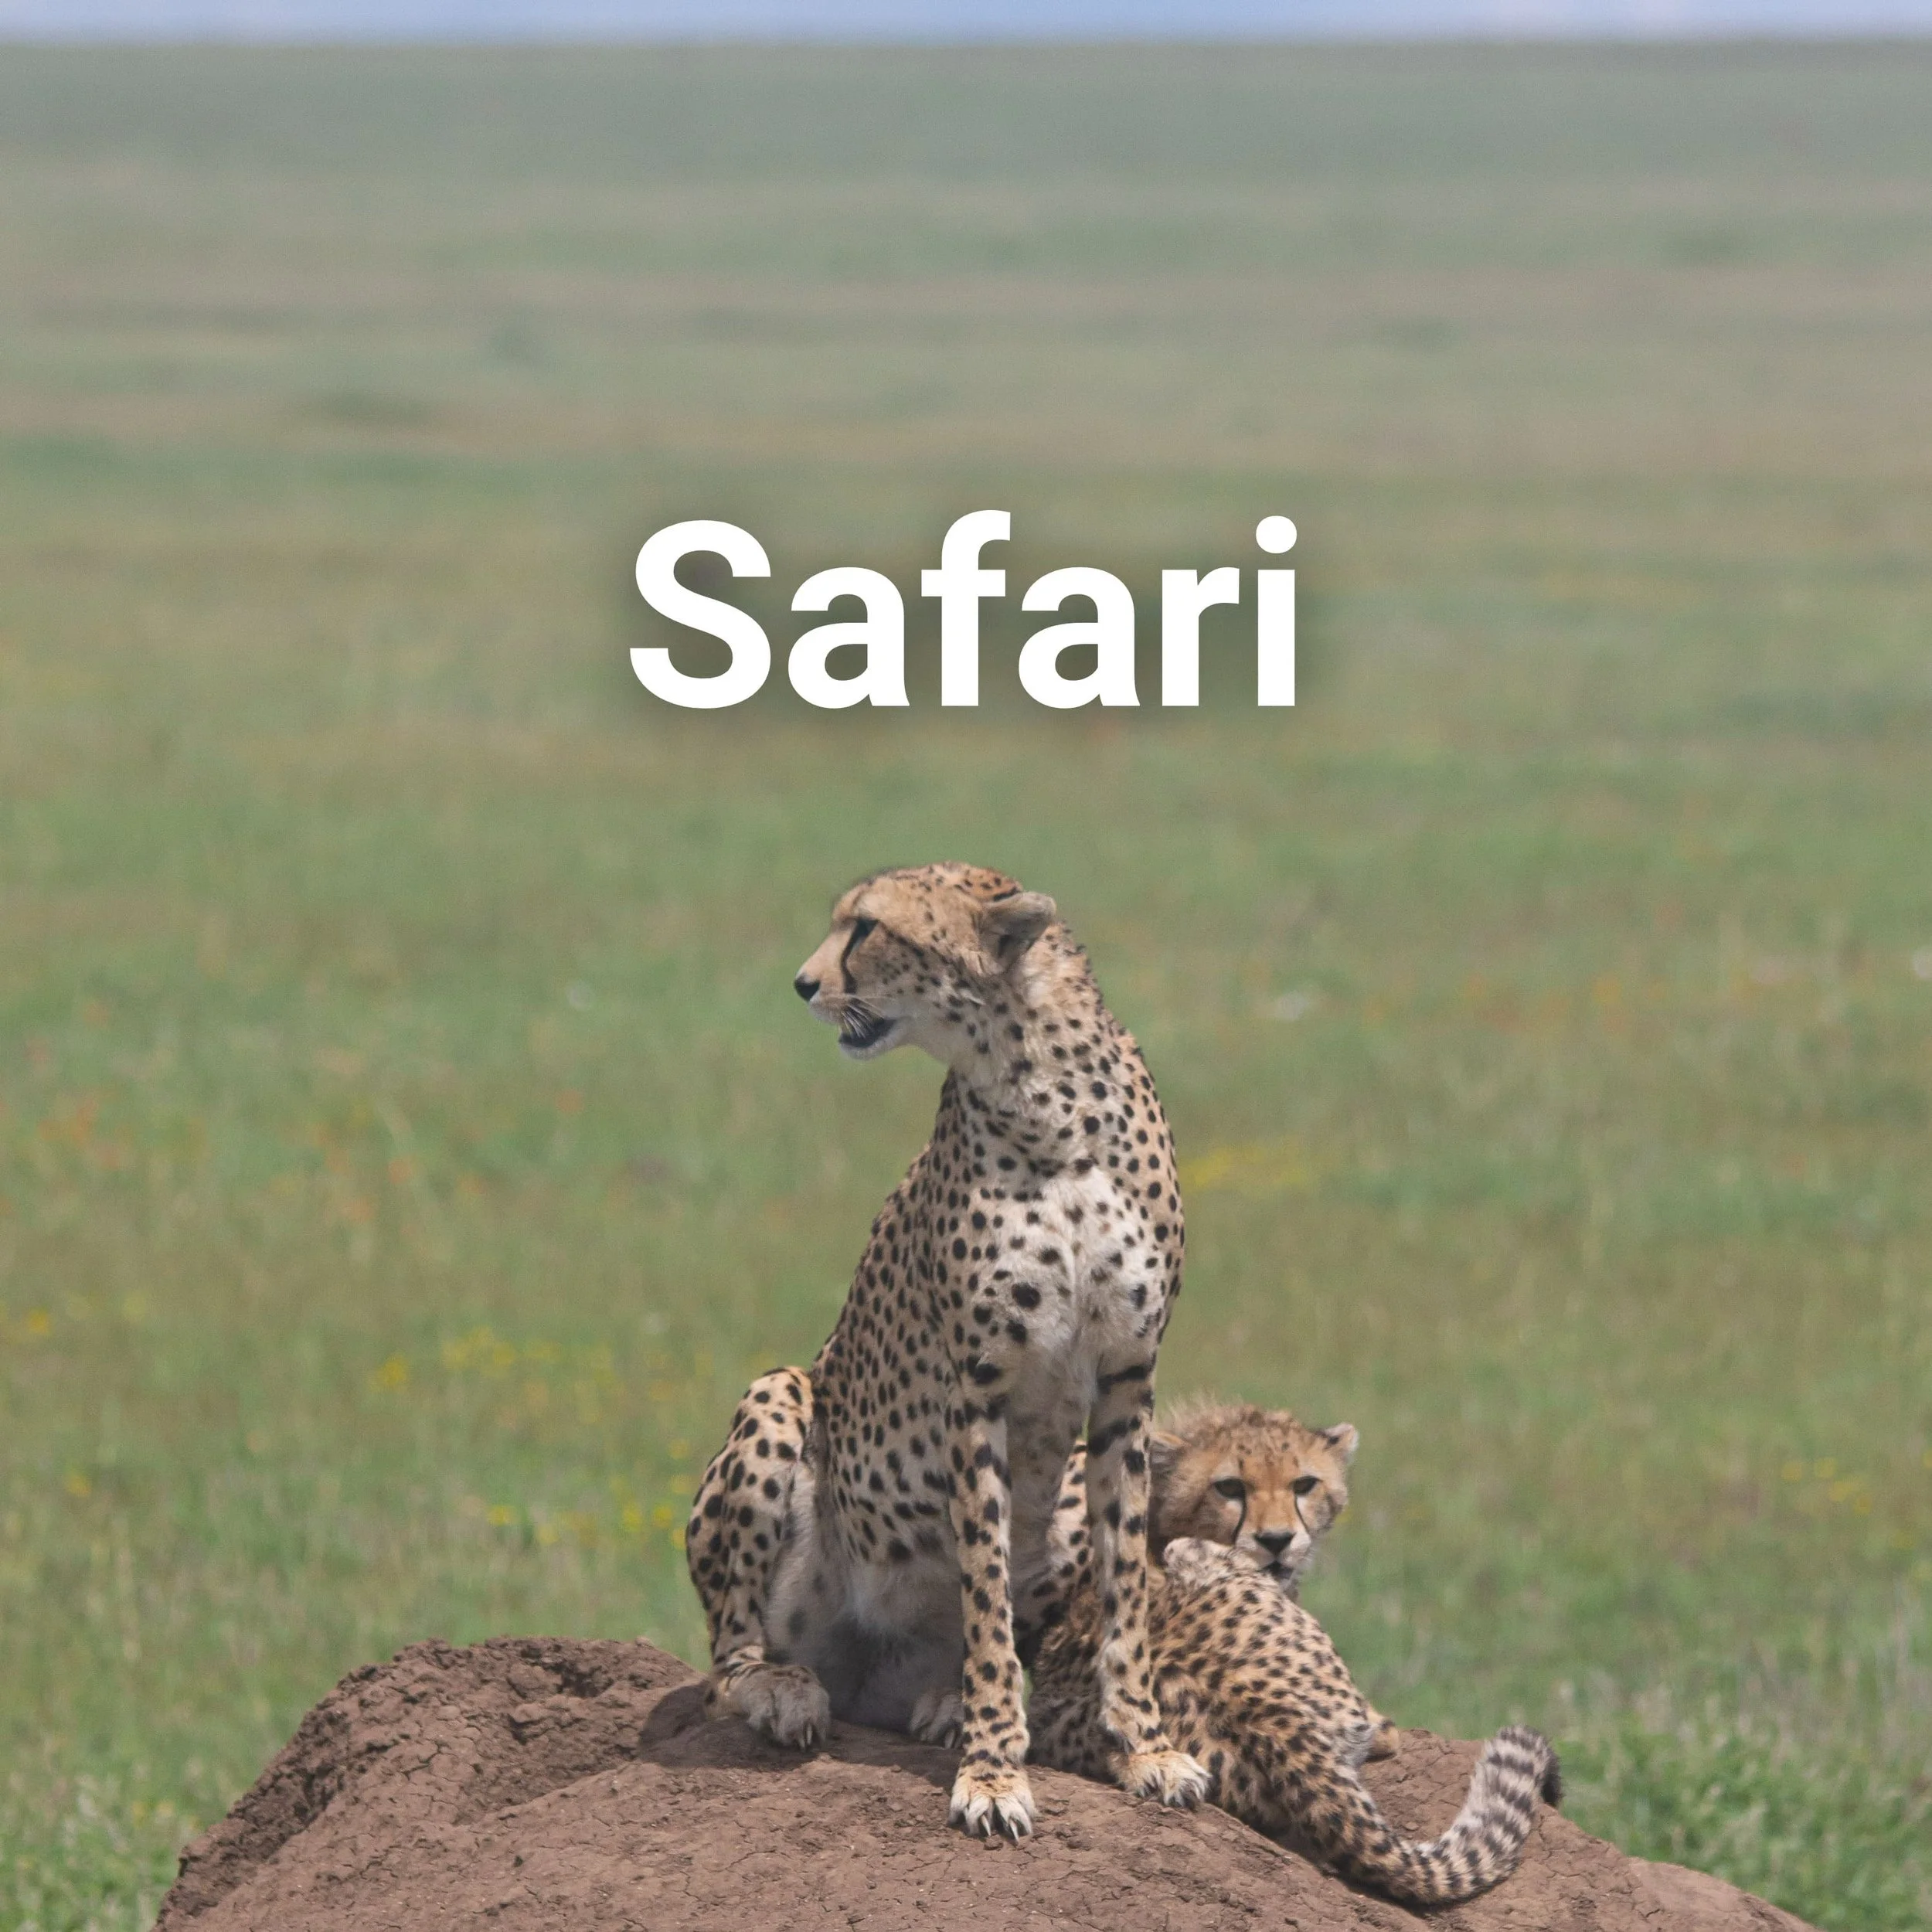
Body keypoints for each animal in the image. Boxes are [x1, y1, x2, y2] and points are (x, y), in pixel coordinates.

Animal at [684, 863, 1208, 1839]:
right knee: (726, 1657)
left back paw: (938, 1697)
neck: (1045, 1101)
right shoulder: (979, 1386)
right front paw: (995, 1770)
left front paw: (1146, 1747)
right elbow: (986, 1587)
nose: (802, 983)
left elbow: (1122, 1582)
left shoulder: (1128, 1380)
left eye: (867, 929)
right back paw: (783, 1689)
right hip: (780, 1395)